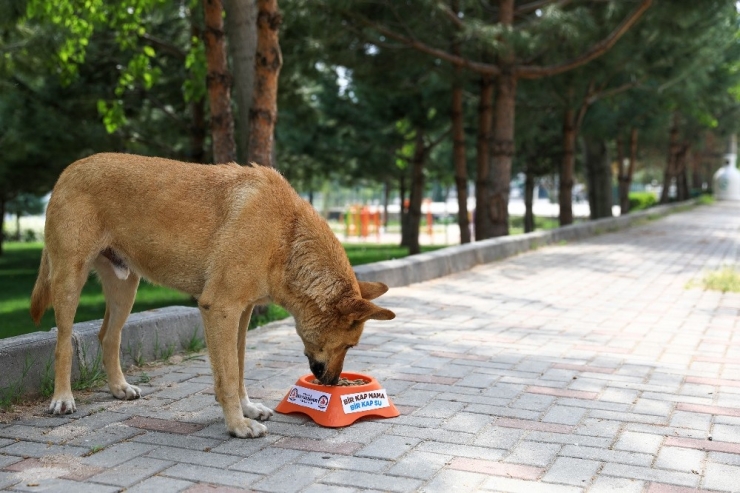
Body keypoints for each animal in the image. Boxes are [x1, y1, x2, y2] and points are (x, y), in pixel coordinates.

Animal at [31, 152, 396, 436]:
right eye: (349, 345)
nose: (333, 383)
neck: (287, 235)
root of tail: (70, 169)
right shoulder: (220, 308)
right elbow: (229, 374)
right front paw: (238, 424)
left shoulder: (242, 313)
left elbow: (239, 366)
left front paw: (246, 409)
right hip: (69, 281)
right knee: (63, 342)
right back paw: (62, 398)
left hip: (125, 289)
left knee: (109, 336)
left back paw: (118, 387)